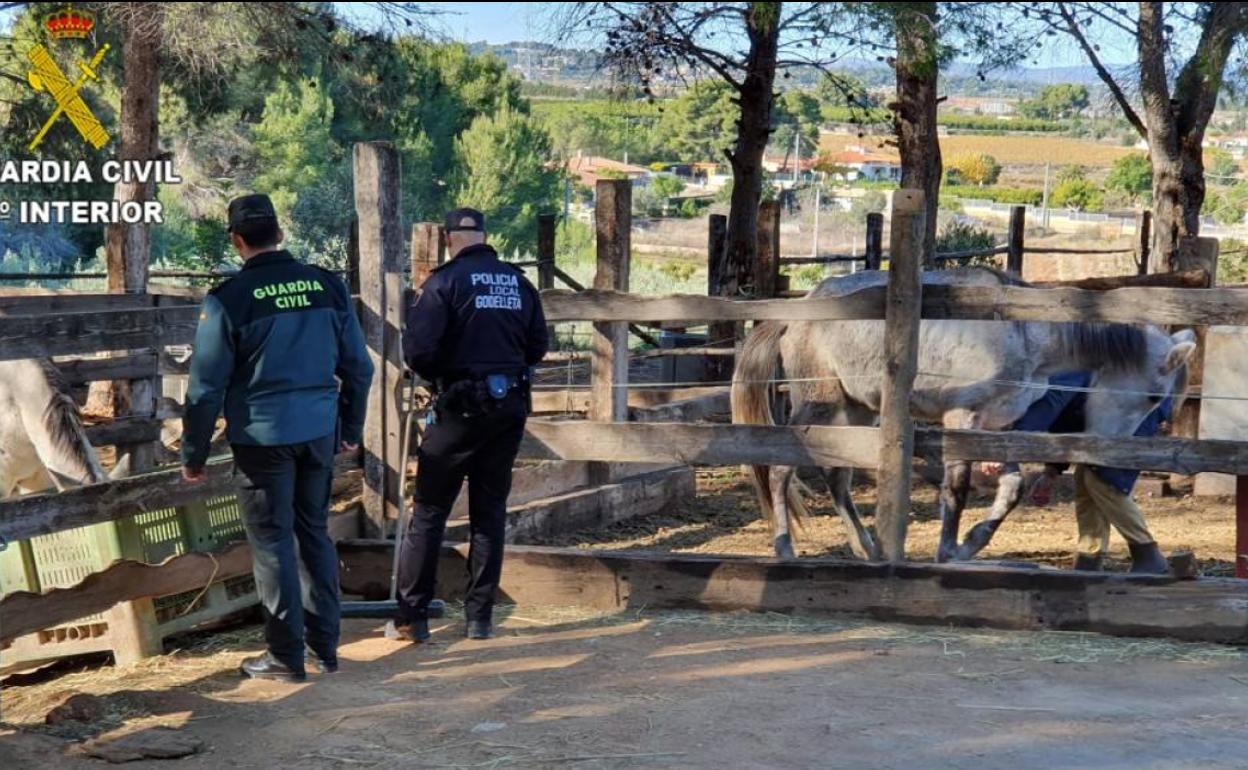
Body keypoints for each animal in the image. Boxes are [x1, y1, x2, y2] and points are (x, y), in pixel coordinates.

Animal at [728, 267, 1198, 561]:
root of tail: (798, 311)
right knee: (781, 470)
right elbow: (956, 488)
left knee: (836, 477)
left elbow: (1012, 487)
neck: (1021, 330)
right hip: (819, 404)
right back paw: (785, 547)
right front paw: (948, 549)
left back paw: (867, 547)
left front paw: (973, 542)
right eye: (1153, 397)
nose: (1107, 460)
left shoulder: (996, 425)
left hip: (855, 409)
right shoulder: (961, 417)